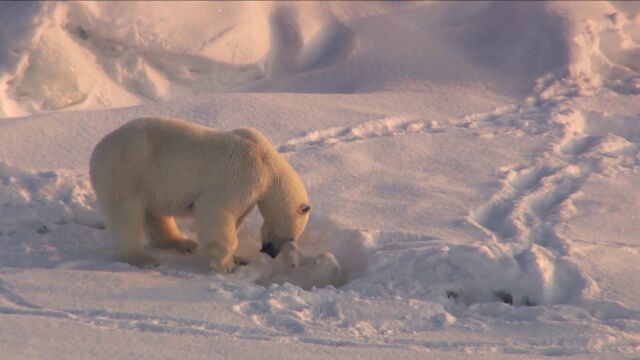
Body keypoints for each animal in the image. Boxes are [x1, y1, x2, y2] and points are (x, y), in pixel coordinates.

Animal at [89, 118, 312, 272]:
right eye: (290, 237)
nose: (270, 252)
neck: (267, 164)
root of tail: (96, 151)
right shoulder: (243, 176)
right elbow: (216, 209)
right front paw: (226, 265)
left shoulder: (251, 194)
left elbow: (237, 217)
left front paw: (239, 259)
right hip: (126, 171)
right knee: (126, 215)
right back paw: (142, 259)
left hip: (149, 181)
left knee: (155, 213)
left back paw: (183, 243)